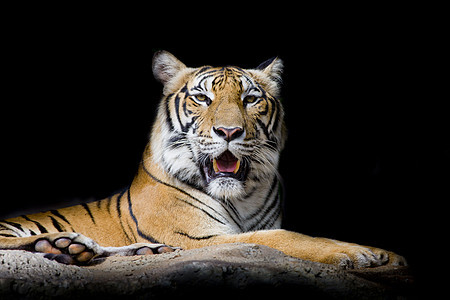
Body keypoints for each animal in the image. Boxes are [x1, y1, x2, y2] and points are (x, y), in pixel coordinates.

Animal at [0, 50, 408, 268]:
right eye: (202, 98)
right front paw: (361, 253)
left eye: (250, 99)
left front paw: (387, 254)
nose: (228, 132)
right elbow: (285, 238)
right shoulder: (201, 237)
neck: (242, 196)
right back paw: (63, 245)